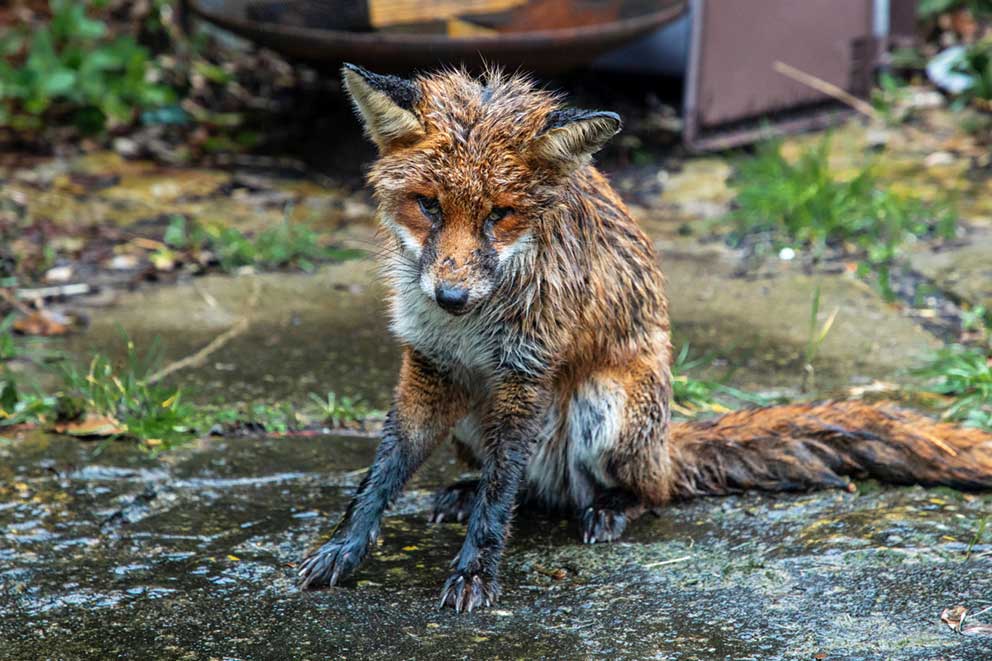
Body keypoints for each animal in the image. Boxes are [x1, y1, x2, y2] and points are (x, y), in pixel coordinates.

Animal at [297, 64, 992, 612]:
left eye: (500, 214)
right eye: (429, 206)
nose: (451, 296)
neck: (469, 328)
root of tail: (665, 444)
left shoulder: (526, 370)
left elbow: (501, 496)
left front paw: (474, 572)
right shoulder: (432, 363)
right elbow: (385, 473)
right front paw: (343, 546)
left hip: (606, 408)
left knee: (638, 493)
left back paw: (610, 508)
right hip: (475, 414)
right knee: (528, 489)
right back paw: (470, 494)